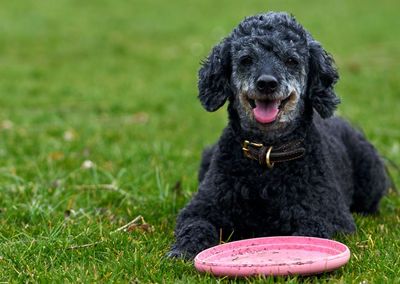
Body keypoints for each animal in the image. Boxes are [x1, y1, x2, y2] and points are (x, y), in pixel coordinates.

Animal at [167, 11, 390, 260]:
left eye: (291, 60)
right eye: (246, 59)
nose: (266, 83)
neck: (267, 155)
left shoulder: (330, 216)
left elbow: (312, 232)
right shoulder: (202, 208)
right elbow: (195, 225)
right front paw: (183, 250)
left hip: (370, 177)